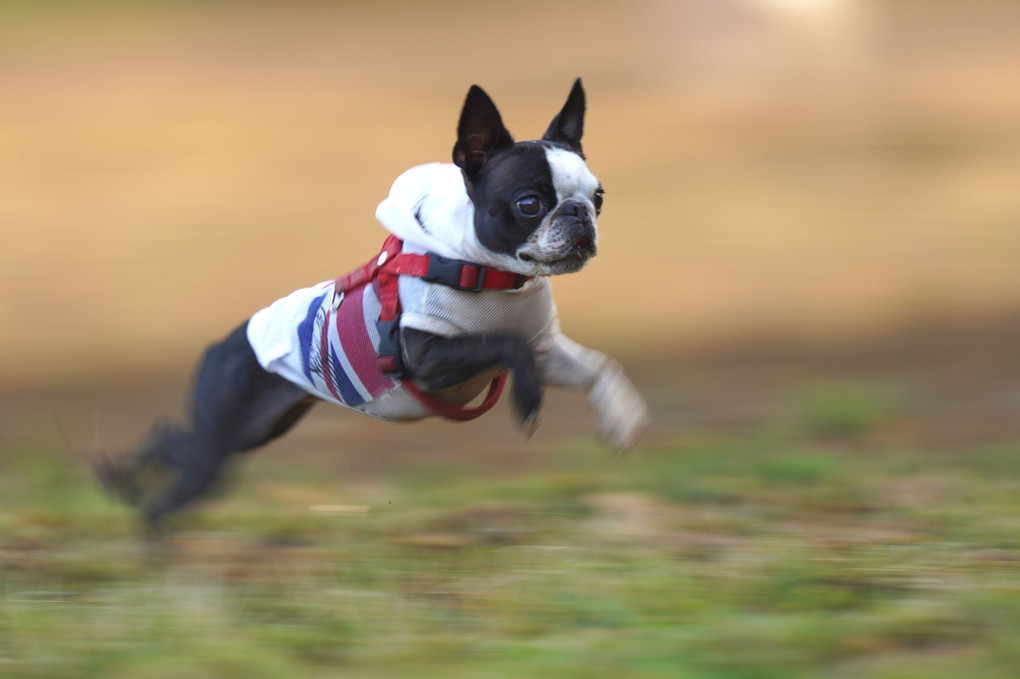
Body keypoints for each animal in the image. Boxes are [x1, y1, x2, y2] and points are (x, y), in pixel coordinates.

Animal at [99, 79, 648, 521]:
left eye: (598, 198)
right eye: (529, 203)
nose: (578, 214)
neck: (497, 279)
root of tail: (225, 342)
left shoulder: (546, 348)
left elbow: (600, 365)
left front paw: (620, 418)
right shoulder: (427, 358)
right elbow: (505, 343)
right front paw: (529, 400)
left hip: (254, 428)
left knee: (176, 440)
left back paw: (123, 474)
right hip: (224, 435)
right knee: (173, 486)